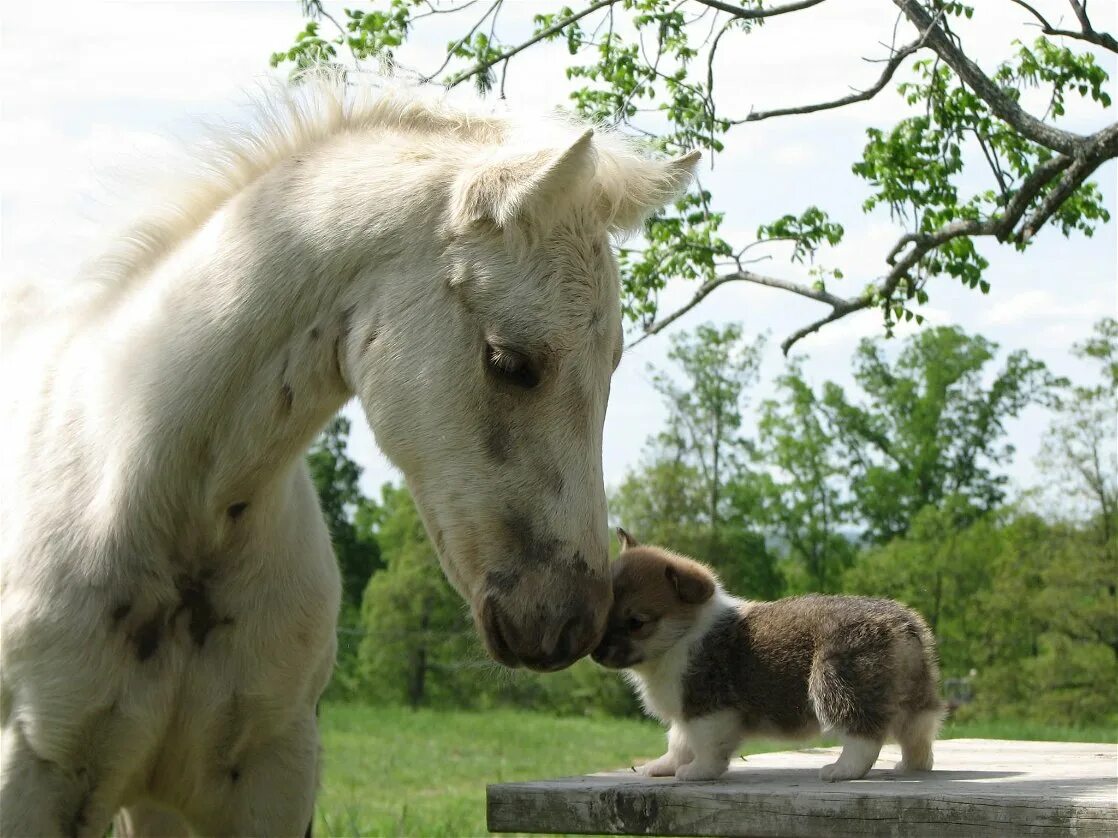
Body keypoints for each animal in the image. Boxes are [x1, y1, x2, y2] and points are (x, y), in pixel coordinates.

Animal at [594, 534, 943, 786]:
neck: (685, 635)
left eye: (636, 623)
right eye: (605, 610)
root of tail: (900, 626)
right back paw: (911, 765)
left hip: (836, 685)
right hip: (915, 698)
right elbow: (678, 743)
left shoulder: (709, 711)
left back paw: (841, 770)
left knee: (864, 736)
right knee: (918, 733)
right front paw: (662, 766)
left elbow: (706, 747)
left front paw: (697, 772)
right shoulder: (686, 712)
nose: (595, 653)